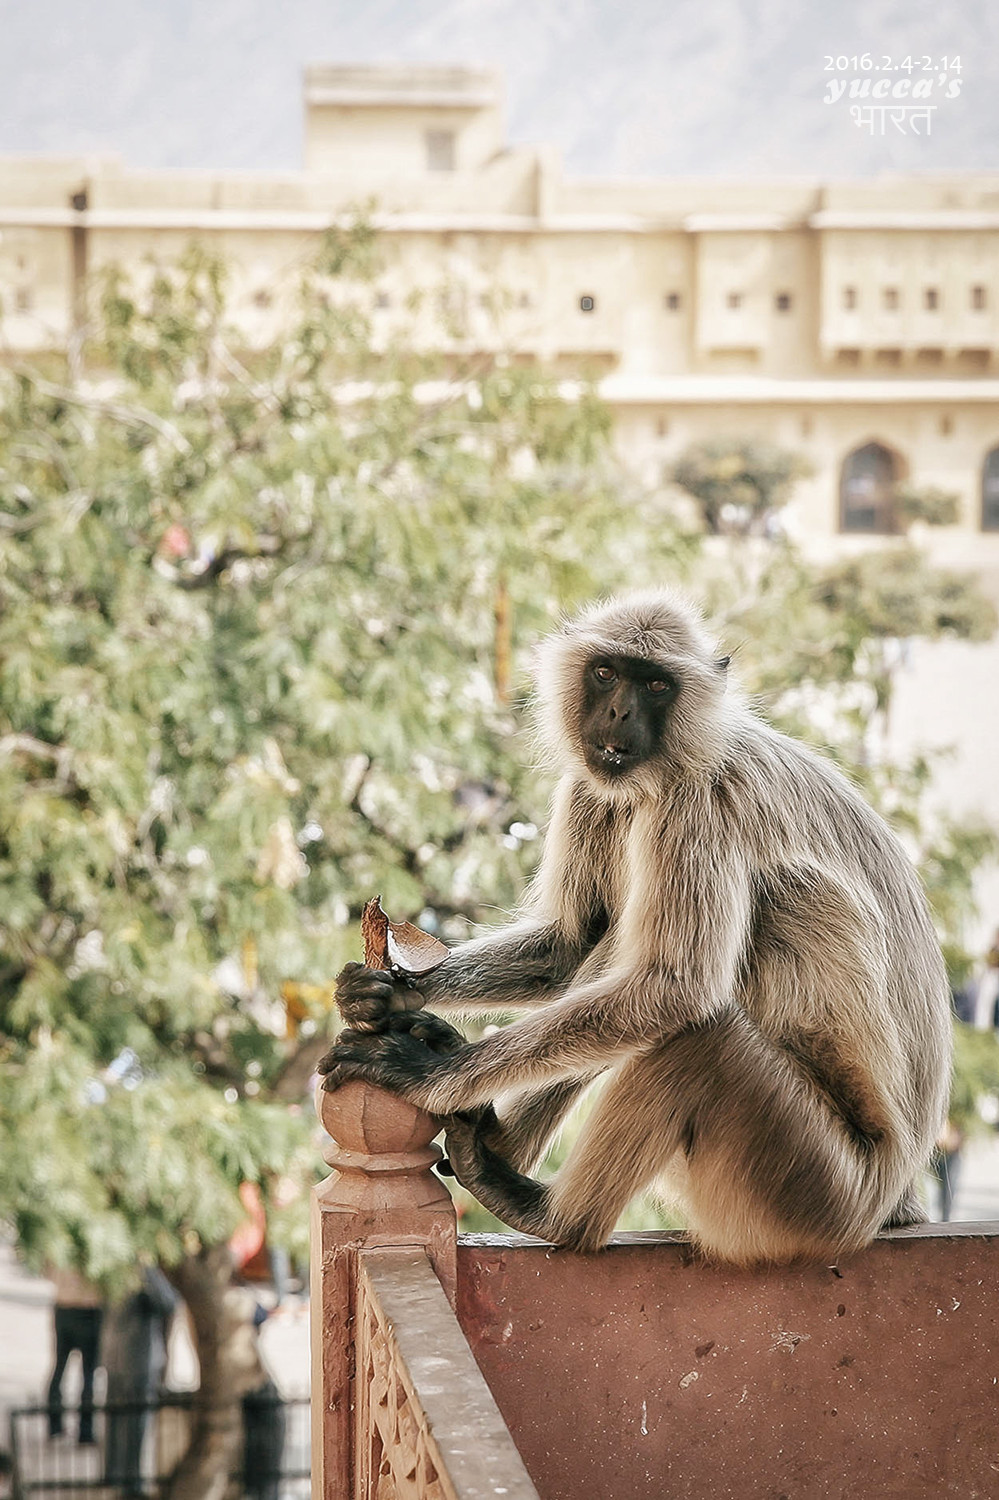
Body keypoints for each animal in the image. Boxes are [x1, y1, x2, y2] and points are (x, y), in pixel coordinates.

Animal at [319, 591, 948, 1260]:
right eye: (606, 673)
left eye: (655, 684)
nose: (620, 709)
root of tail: (895, 1200)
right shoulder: (591, 785)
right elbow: (571, 945)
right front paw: (383, 993)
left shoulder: (702, 798)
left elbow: (676, 987)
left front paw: (428, 1074)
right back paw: (496, 1141)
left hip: (816, 1189)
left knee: (705, 1030)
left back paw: (548, 1212)